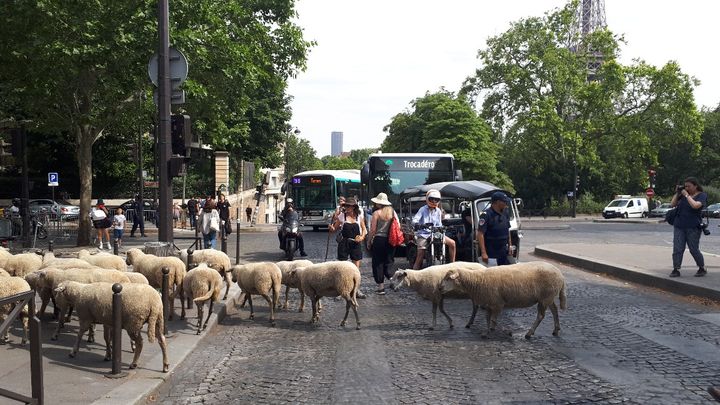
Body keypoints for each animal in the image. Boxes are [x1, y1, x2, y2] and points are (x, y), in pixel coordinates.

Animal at [438, 260, 568, 336]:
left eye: (448, 278)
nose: (439, 288)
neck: (477, 280)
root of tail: (560, 274)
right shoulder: (489, 303)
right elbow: (487, 318)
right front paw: (487, 331)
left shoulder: (497, 303)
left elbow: (493, 319)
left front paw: (491, 330)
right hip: (548, 297)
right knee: (555, 311)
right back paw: (556, 329)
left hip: (545, 298)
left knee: (541, 316)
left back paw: (529, 333)